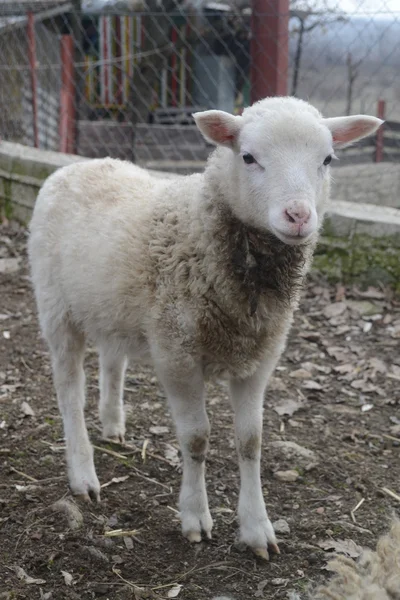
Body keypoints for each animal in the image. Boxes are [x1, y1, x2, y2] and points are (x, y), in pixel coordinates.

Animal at [26, 96, 382, 560]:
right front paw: (195, 516)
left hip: (114, 308)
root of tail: (78, 166)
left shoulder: (260, 357)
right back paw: (83, 473)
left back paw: (113, 424)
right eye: (248, 157)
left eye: (327, 159)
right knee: (69, 392)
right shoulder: (176, 354)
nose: (299, 215)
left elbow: (251, 441)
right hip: (57, 309)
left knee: (112, 358)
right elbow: (196, 439)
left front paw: (257, 528)